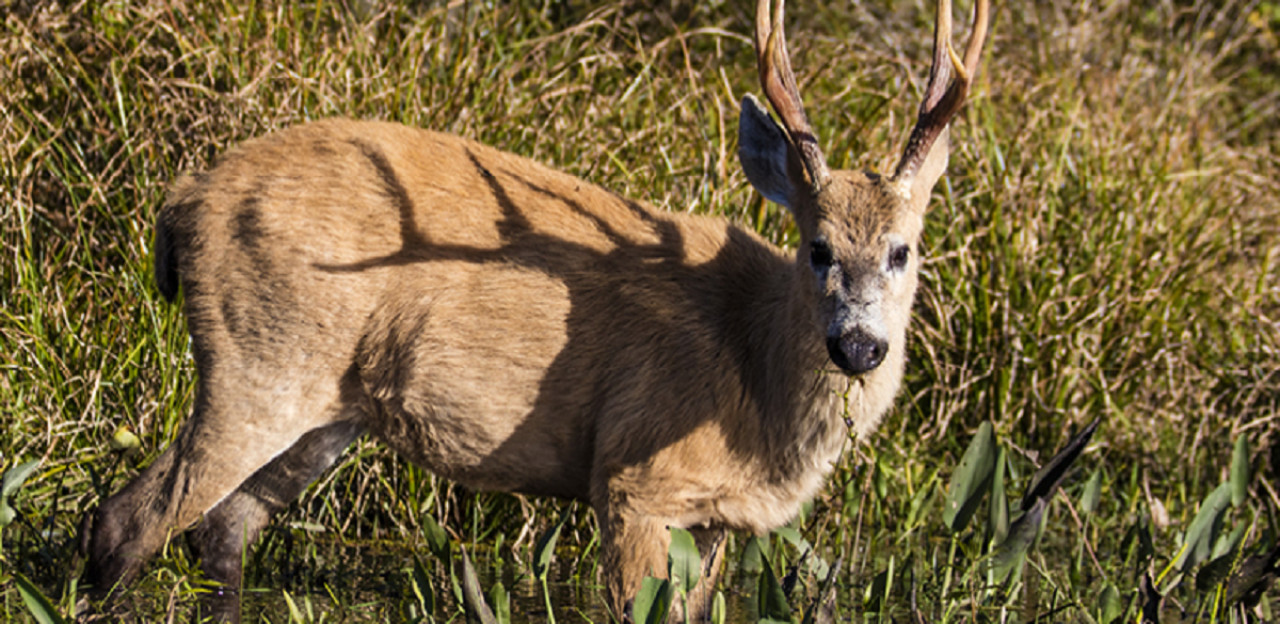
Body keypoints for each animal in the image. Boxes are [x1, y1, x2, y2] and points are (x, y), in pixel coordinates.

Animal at [82, 0, 988, 618]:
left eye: (904, 249)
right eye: (818, 247)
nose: (859, 346)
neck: (752, 372)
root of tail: (182, 200)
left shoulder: (716, 520)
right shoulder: (632, 479)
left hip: (327, 412)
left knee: (220, 532)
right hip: (257, 360)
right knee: (129, 519)